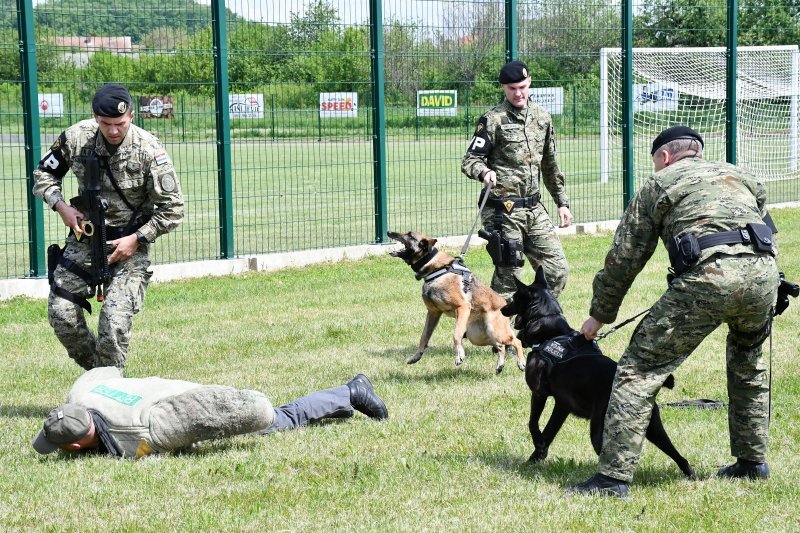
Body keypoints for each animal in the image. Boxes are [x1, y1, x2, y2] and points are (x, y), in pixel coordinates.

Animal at [388, 230, 524, 374]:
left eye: (410, 235)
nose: (390, 232)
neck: (436, 269)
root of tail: (505, 305)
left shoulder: (462, 307)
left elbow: (456, 334)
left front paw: (460, 355)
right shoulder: (433, 313)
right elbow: (424, 336)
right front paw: (416, 356)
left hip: (495, 331)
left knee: (516, 341)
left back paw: (521, 363)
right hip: (479, 336)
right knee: (500, 346)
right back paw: (500, 365)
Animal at [500, 266, 692, 478]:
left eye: (515, 298)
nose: (501, 309)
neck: (549, 331)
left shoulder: (539, 393)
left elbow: (533, 423)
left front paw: (537, 446)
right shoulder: (562, 405)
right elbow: (549, 432)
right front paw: (536, 456)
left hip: (600, 429)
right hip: (654, 429)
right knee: (679, 457)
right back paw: (691, 475)